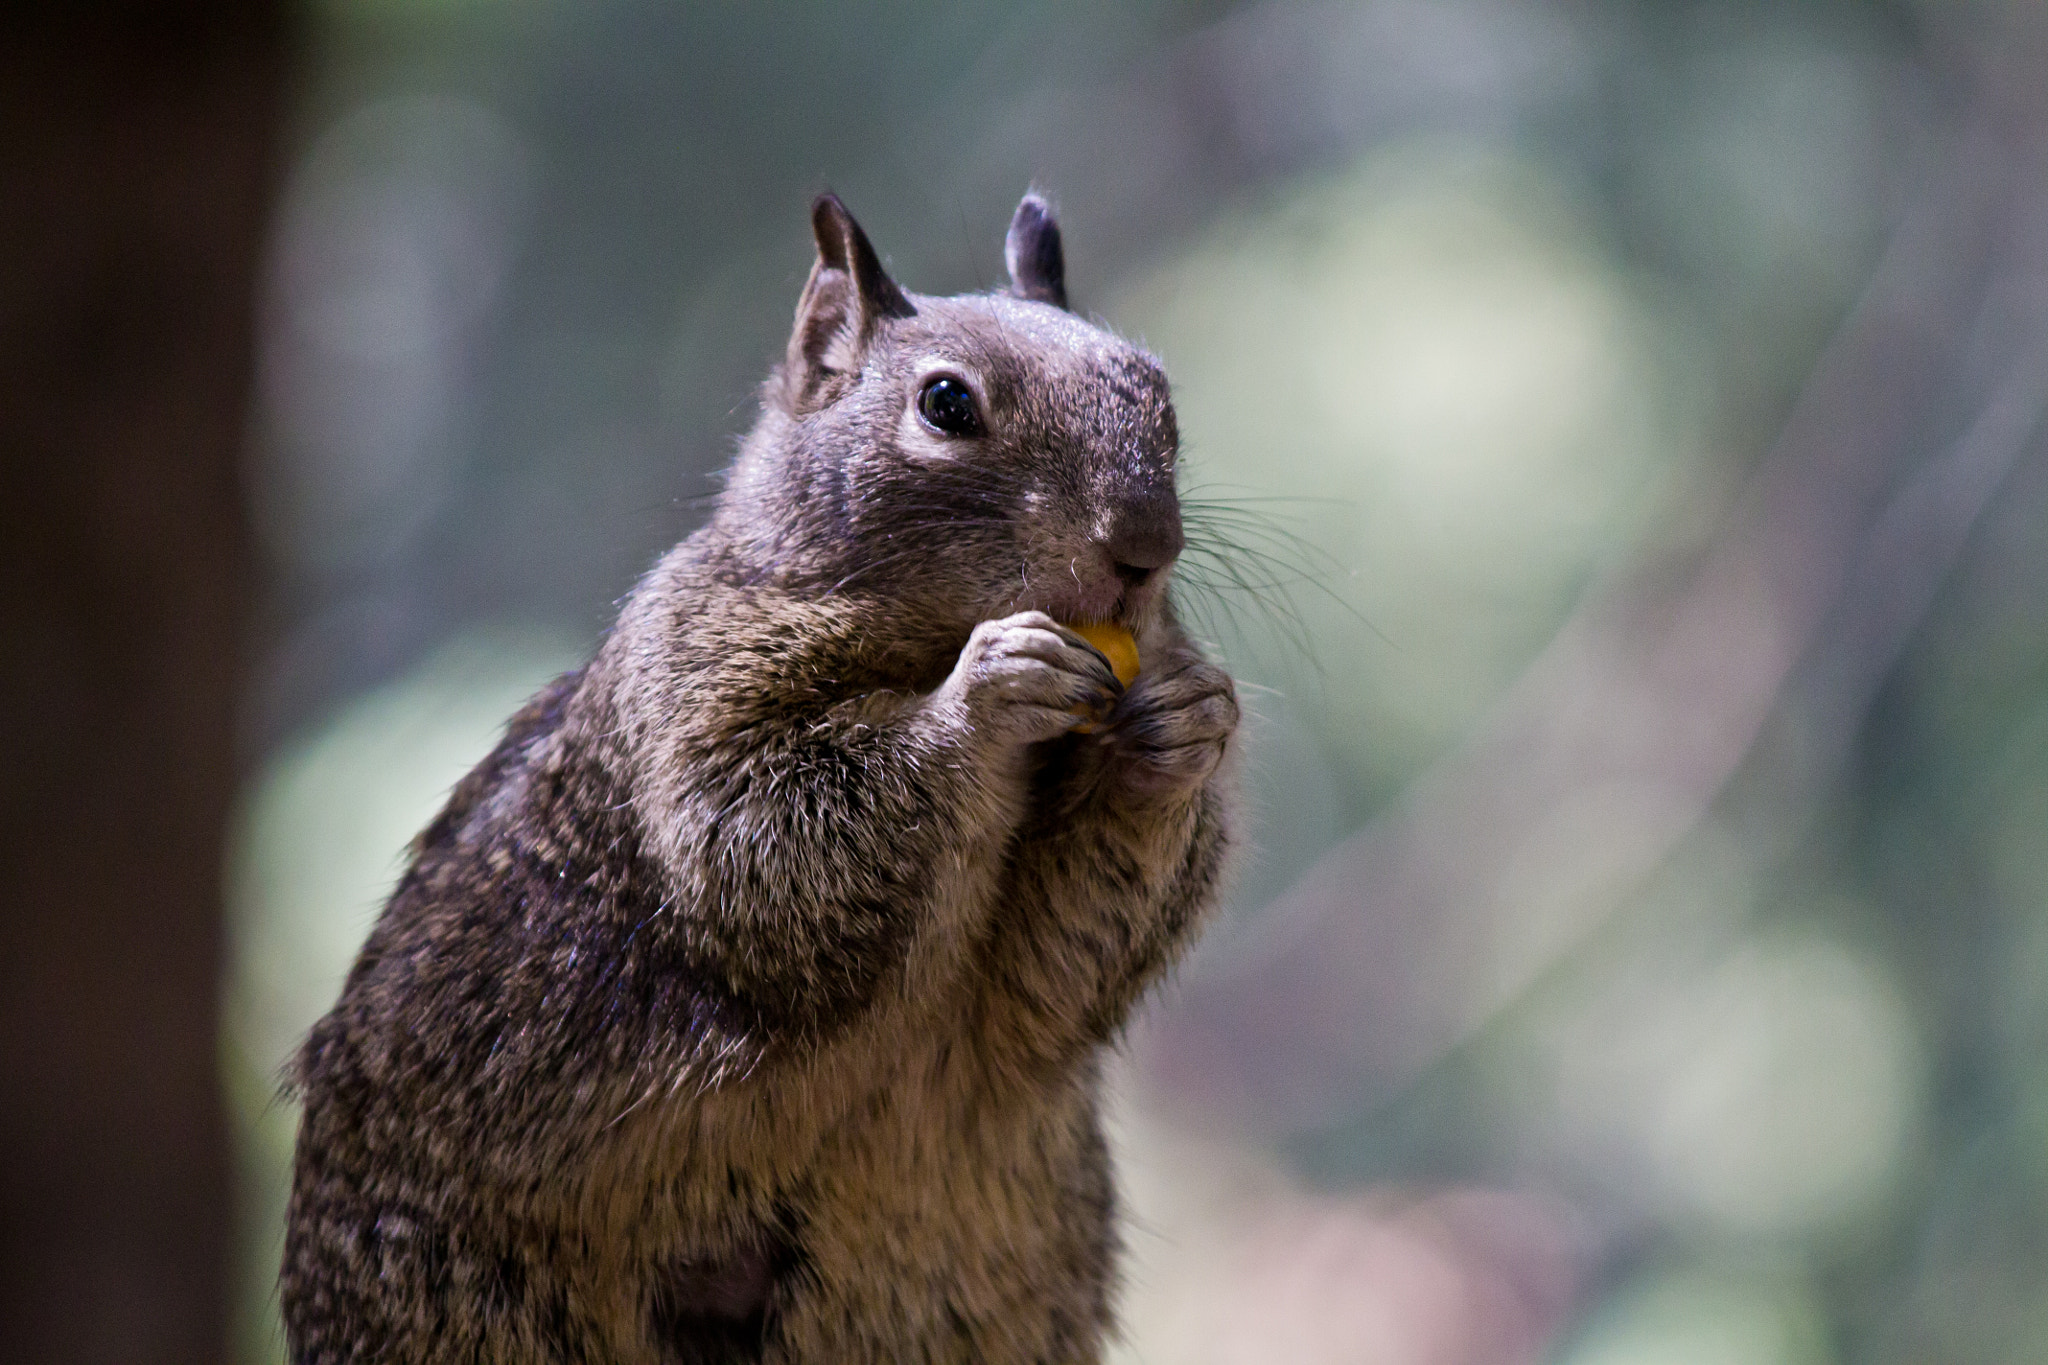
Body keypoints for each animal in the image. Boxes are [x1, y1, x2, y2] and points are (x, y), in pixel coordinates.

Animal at [280, 190, 1239, 1364]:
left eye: (1160, 393)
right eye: (947, 403)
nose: (1146, 547)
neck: (909, 641)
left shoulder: (1024, 999)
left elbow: (1059, 972)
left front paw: (1183, 727)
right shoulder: (688, 705)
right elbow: (767, 846)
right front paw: (986, 694)